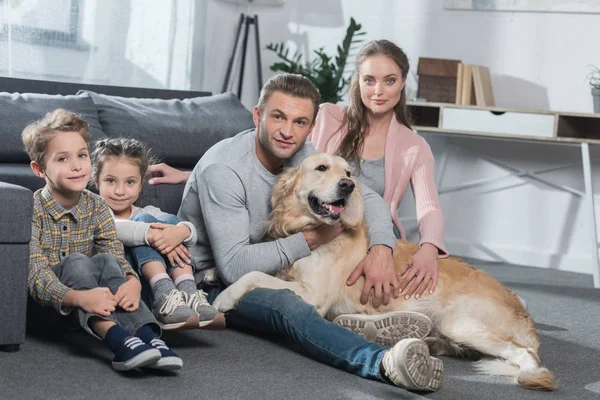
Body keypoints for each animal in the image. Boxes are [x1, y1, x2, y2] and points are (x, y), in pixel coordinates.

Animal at [212, 152, 556, 390]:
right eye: (321, 168)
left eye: (348, 173)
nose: (348, 185)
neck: (309, 230)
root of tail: (522, 309)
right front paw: (212, 273)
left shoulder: (313, 295)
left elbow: (252, 275)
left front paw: (224, 298)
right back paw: (424, 341)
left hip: (463, 323)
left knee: (523, 354)